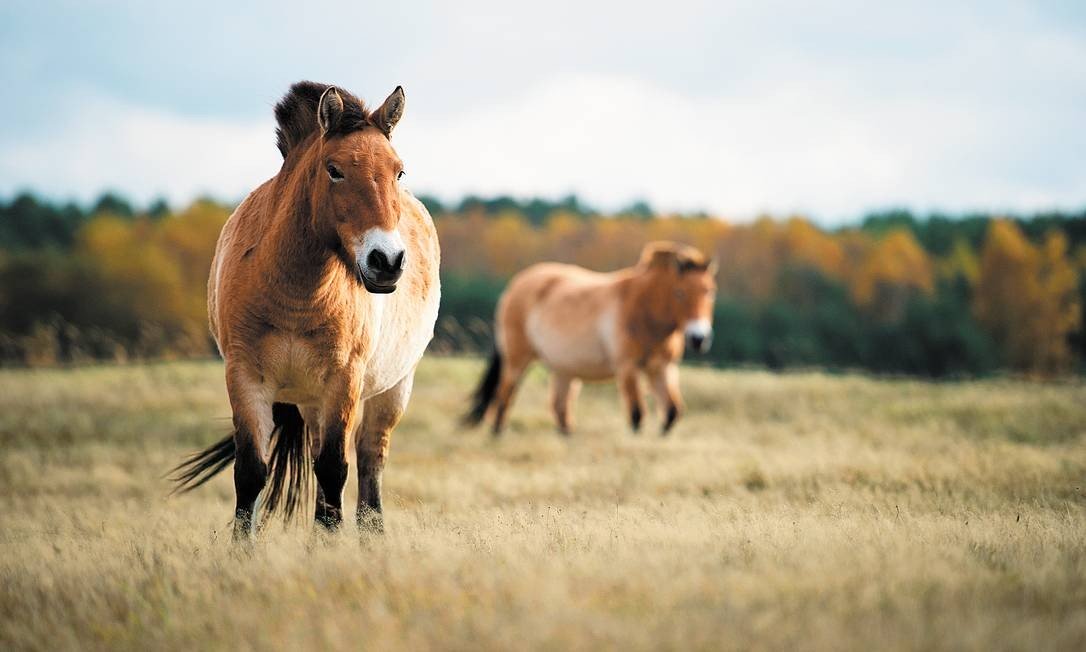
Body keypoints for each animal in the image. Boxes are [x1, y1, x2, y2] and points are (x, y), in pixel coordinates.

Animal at [170, 81, 440, 538]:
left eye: (399, 172)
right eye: (334, 169)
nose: (387, 261)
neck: (296, 294)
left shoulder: (343, 382)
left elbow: (334, 470)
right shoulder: (246, 379)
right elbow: (251, 473)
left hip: (392, 389)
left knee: (370, 460)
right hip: (312, 403)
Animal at [465, 242, 716, 437]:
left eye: (709, 291)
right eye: (680, 293)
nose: (698, 338)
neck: (644, 311)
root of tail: (515, 285)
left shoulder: (661, 368)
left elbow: (672, 412)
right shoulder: (627, 367)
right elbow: (636, 414)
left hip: (564, 369)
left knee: (560, 407)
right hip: (518, 358)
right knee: (505, 395)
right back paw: (497, 434)